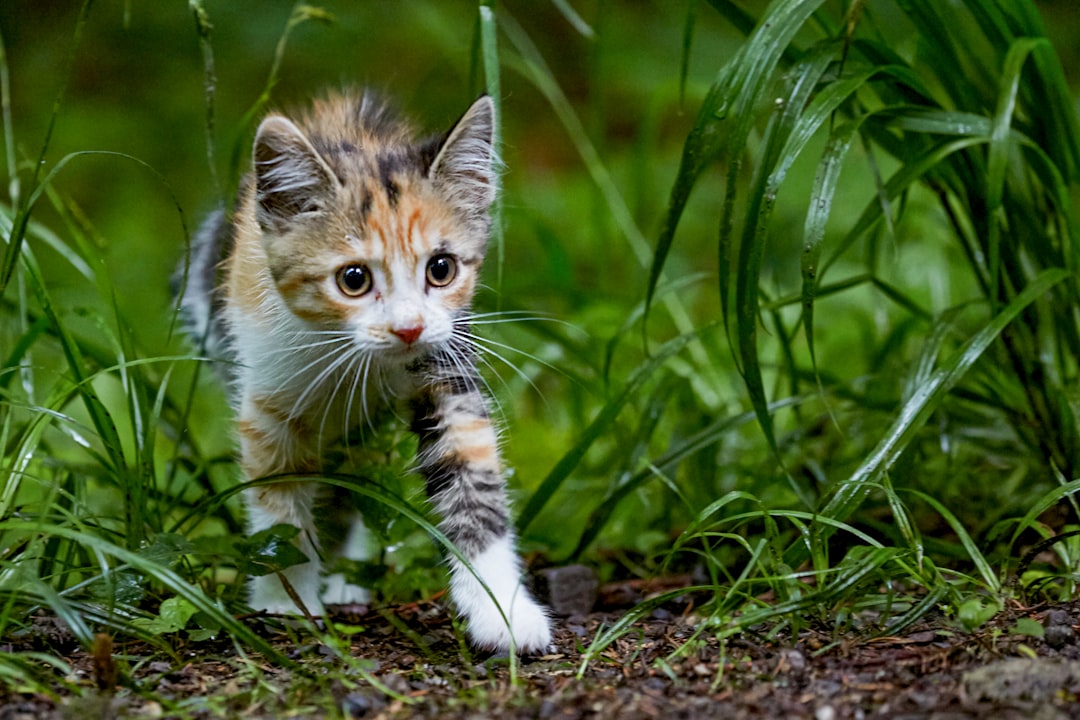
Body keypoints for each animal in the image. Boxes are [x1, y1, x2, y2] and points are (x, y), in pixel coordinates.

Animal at [180, 90, 552, 651]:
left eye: (441, 269)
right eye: (353, 279)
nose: (408, 328)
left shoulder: (448, 363)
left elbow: (472, 477)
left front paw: (502, 611)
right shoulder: (267, 388)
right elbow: (278, 501)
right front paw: (286, 601)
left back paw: (346, 578)